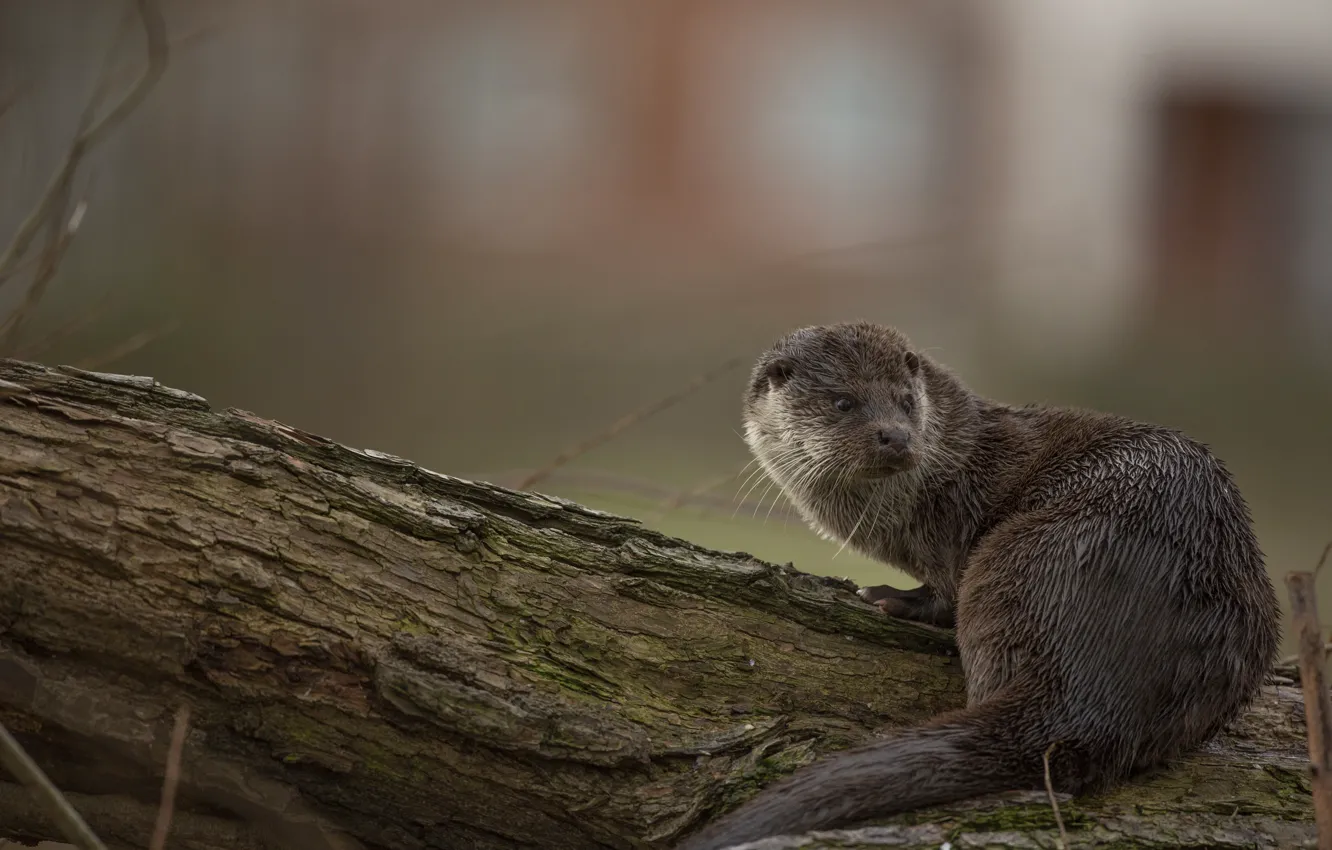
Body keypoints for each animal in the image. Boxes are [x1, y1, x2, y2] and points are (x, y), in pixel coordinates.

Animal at [677, 321, 1280, 850]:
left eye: (905, 401)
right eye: (843, 402)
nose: (894, 435)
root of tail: (1094, 687)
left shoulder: (957, 522)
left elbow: (944, 592)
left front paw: (890, 598)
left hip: (1026, 553)